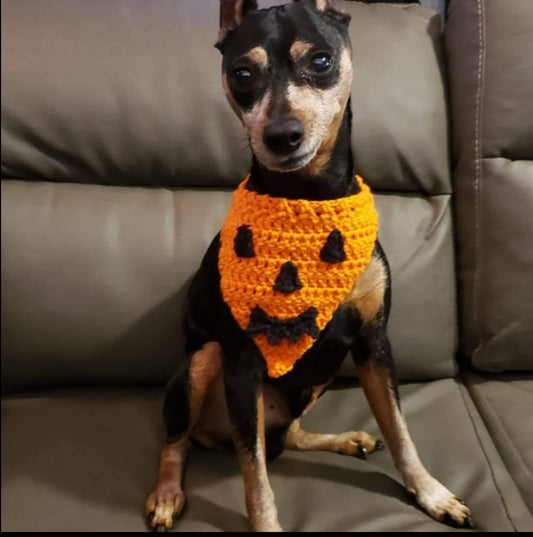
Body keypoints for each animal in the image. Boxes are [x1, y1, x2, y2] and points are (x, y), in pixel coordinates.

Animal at [144, 0, 470, 528]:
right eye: (241, 73)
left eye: (320, 61)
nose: (282, 135)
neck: (308, 197)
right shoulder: (242, 363)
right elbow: (255, 478)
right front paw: (266, 524)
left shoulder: (373, 343)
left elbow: (400, 430)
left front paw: (431, 493)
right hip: (204, 362)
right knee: (179, 442)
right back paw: (168, 494)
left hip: (315, 377)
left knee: (289, 435)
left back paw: (346, 439)